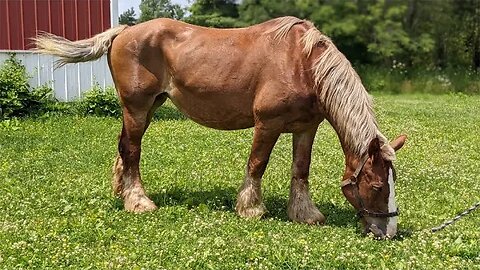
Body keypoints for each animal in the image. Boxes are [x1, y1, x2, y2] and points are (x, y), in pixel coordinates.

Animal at [35, 16, 406, 238]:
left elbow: (301, 170)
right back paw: (138, 200)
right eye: (376, 185)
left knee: (122, 147)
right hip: (137, 108)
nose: (388, 232)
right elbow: (257, 164)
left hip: (150, 106)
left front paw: (305, 214)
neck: (302, 63)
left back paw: (121, 190)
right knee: (132, 149)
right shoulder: (267, 124)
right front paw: (251, 209)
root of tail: (124, 30)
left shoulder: (306, 127)